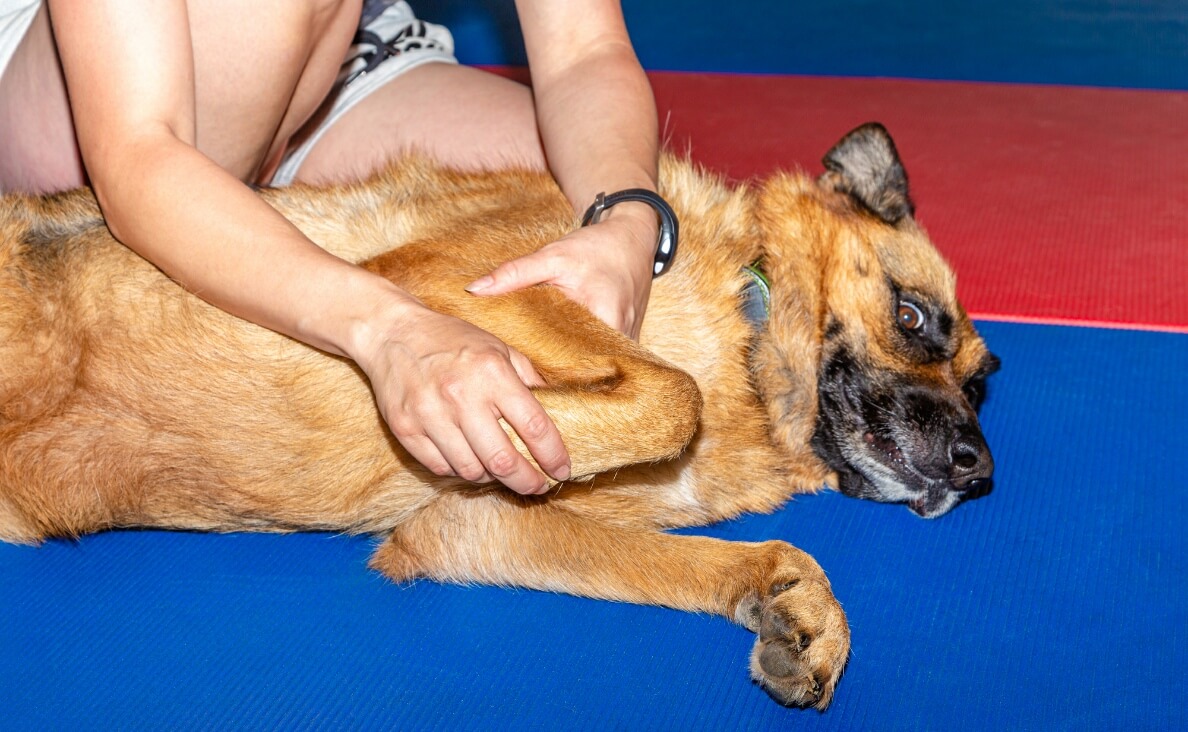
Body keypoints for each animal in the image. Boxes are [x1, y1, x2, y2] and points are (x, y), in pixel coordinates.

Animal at [0, 122, 997, 708]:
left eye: (983, 384)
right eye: (913, 317)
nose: (978, 467)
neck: (749, 338)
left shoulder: (469, 527)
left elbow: (749, 557)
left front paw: (796, 608)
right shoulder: (442, 285)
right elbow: (672, 393)